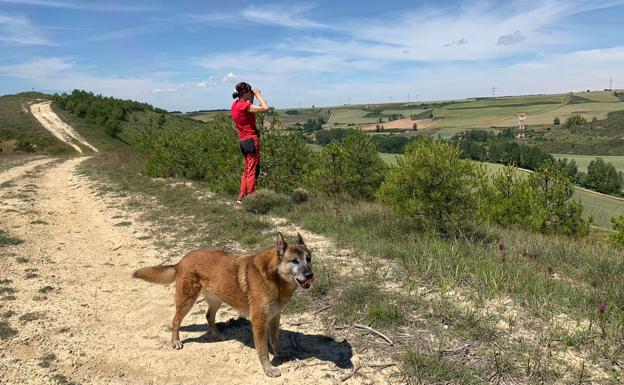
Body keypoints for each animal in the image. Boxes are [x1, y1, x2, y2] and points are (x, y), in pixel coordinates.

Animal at [133, 232, 314, 376]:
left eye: (308, 259)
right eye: (294, 261)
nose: (310, 275)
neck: (275, 278)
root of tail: (182, 260)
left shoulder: (275, 318)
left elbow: (275, 340)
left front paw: (279, 353)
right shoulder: (259, 322)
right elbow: (262, 350)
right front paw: (268, 369)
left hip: (217, 299)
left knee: (208, 316)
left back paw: (217, 334)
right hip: (187, 301)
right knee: (176, 320)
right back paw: (175, 341)